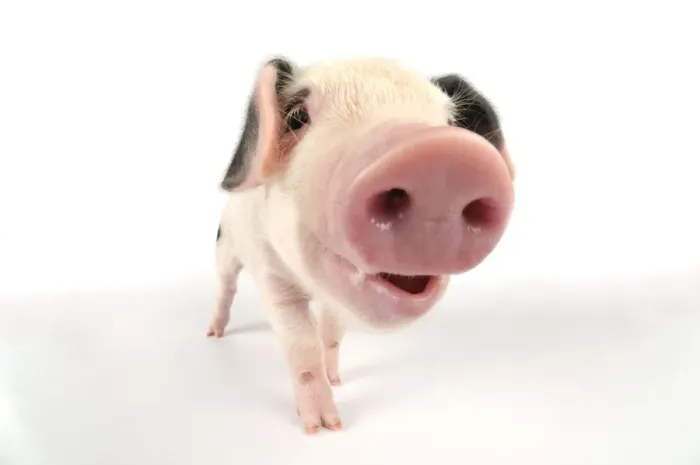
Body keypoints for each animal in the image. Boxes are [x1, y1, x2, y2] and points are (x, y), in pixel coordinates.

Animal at [208, 56, 516, 434]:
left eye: (448, 121)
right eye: (297, 117)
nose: (441, 154)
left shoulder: (336, 301)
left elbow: (331, 335)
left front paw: (337, 381)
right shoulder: (272, 277)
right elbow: (302, 344)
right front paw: (323, 428)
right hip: (225, 247)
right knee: (226, 286)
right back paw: (214, 334)